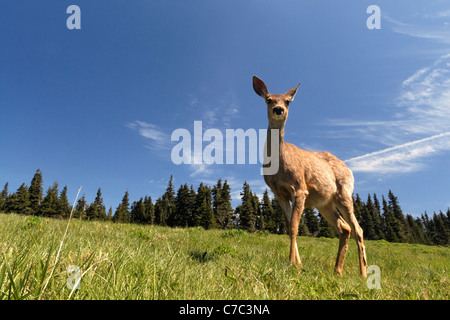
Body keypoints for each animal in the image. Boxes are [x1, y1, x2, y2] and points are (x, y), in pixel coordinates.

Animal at [251, 76, 368, 276]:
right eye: (269, 99)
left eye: (288, 101)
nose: (278, 109)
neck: (279, 163)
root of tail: (350, 170)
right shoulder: (278, 193)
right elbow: (289, 225)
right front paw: (298, 263)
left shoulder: (299, 188)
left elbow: (294, 226)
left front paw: (292, 263)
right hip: (324, 203)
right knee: (344, 228)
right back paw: (337, 270)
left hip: (344, 193)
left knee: (358, 229)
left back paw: (363, 273)